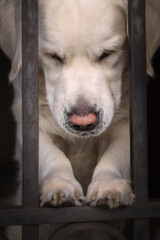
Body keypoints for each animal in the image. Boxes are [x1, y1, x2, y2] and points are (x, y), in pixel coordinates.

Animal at [0, 0, 160, 239]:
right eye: (53, 56)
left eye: (107, 54)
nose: (83, 121)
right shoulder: (30, 123)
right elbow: (52, 156)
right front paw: (59, 186)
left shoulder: (127, 124)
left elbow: (115, 156)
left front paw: (109, 186)